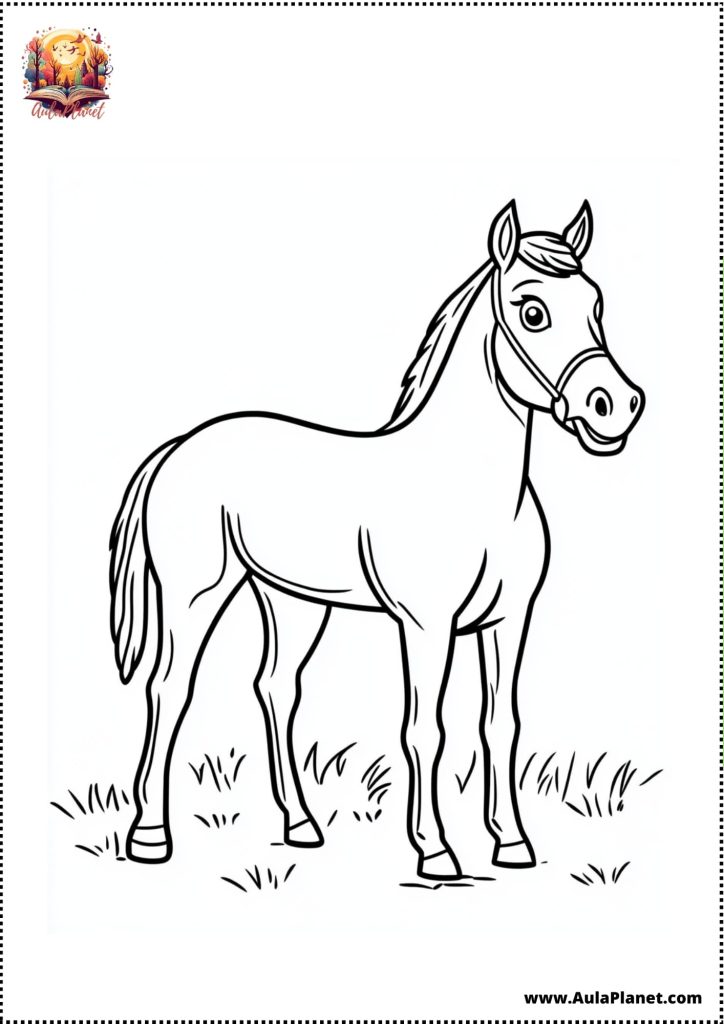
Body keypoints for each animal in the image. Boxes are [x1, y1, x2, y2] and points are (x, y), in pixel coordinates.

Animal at [110, 200, 644, 879]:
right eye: (532, 311)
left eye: (596, 305)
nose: (616, 407)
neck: (472, 485)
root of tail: (180, 446)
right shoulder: (426, 626)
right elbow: (426, 730)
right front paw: (436, 851)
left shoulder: (508, 621)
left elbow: (500, 724)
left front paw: (513, 843)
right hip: (196, 594)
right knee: (169, 688)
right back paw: (151, 836)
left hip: (292, 601)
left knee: (275, 688)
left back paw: (302, 825)